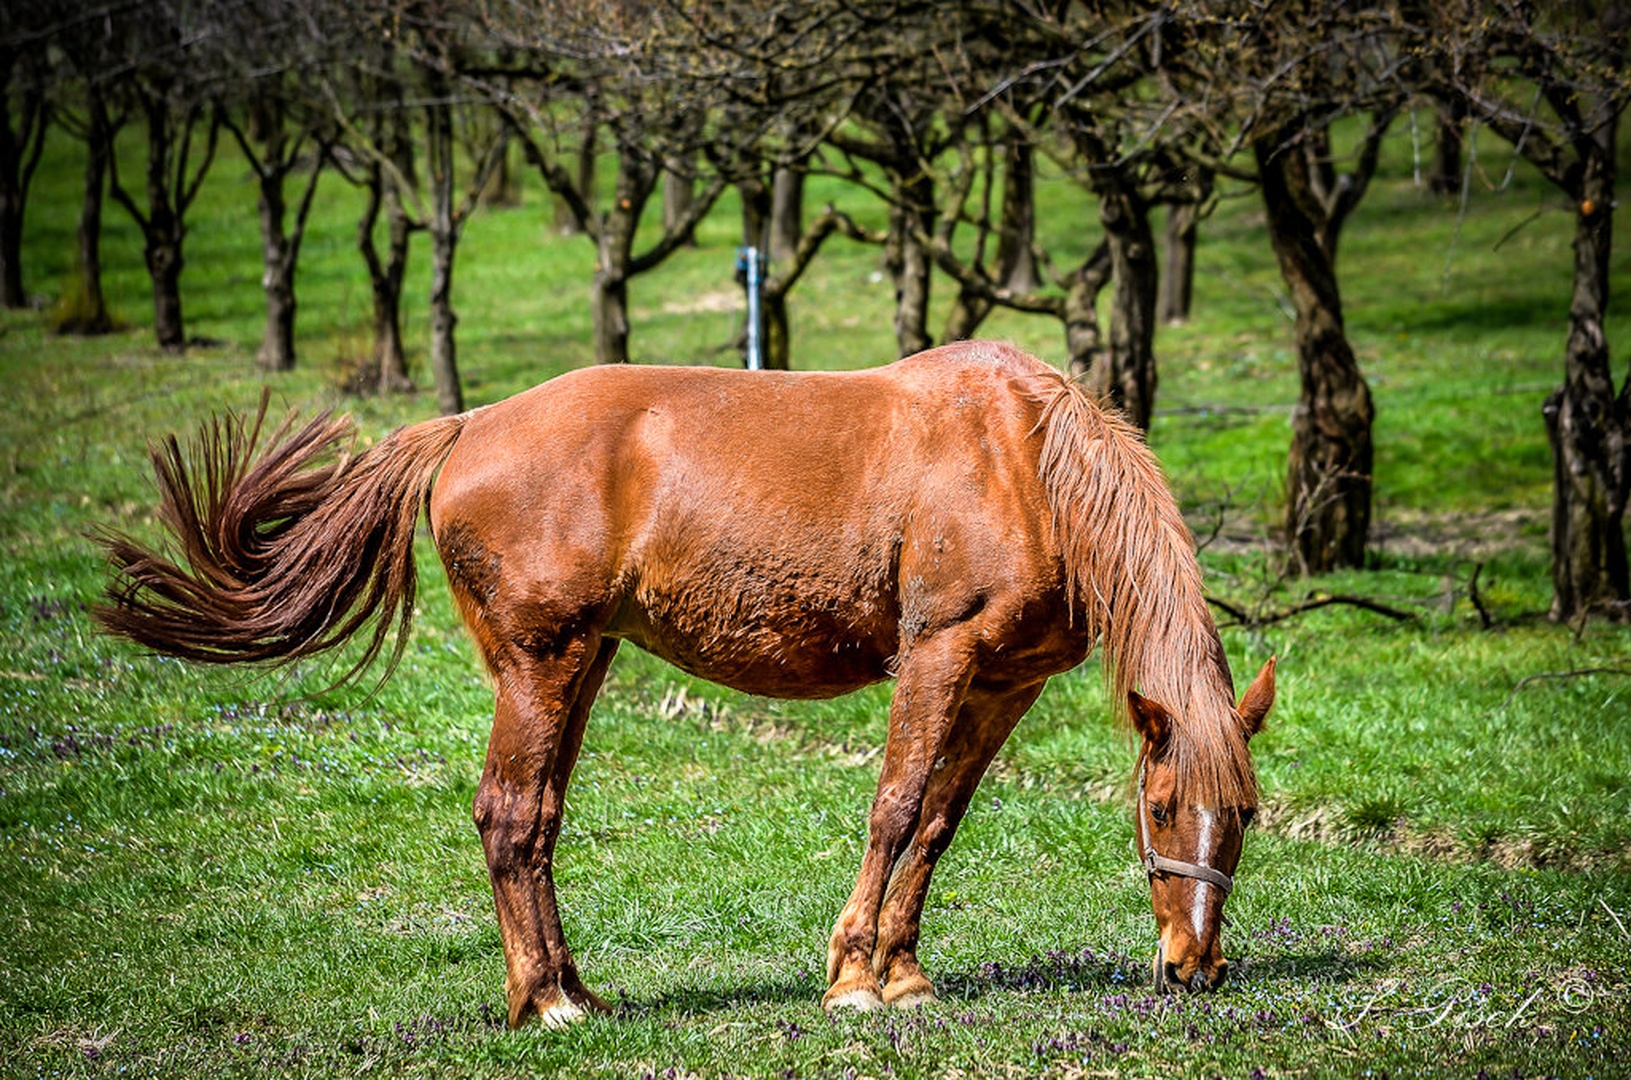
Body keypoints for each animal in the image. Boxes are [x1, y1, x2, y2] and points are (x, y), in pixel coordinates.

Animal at [97, 340, 1274, 1028]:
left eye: (1248, 815)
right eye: (1161, 806)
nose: (1193, 967)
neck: (1022, 458)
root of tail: (468, 427)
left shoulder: (1002, 684)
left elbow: (939, 822)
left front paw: (903, 971)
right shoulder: (937, 656)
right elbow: (894, 807)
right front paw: (854, 979)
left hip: (579, 663)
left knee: (538, 820)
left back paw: (573, 989)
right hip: (539, 664)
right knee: (508, 813)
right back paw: (544, 1004)